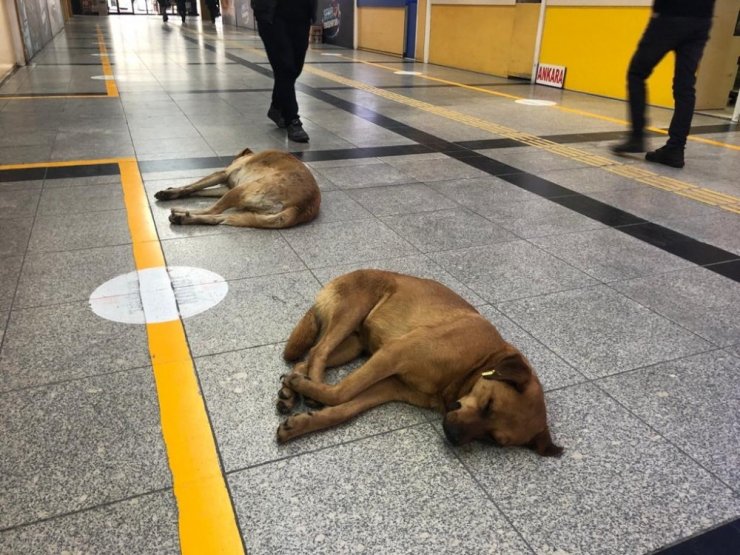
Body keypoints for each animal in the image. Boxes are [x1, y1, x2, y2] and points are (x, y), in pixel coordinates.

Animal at [155, 149, 320, 229]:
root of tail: (302, 206)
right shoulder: (227, 186)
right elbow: (198, 190)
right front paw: (171, 192)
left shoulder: (223, 174)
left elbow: (193, 185)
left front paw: (170, 192)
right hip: (247, 206)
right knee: (218, 217)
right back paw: (184, 218)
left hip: (240, 190)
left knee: (212, 210)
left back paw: (181, 212)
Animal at [276, 270, 560, 456]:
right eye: (489, 404)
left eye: (493, 440)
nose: (452, 436)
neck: (476, 362)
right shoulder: (395, 353)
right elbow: (342, 392)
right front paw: (315, 399)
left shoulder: (390, 386)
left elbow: (345, 409)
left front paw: (303, 423)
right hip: (352, 313)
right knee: (318, 351)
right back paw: (309, 388)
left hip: (353, 345)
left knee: (306, 360)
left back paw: (292, 391)